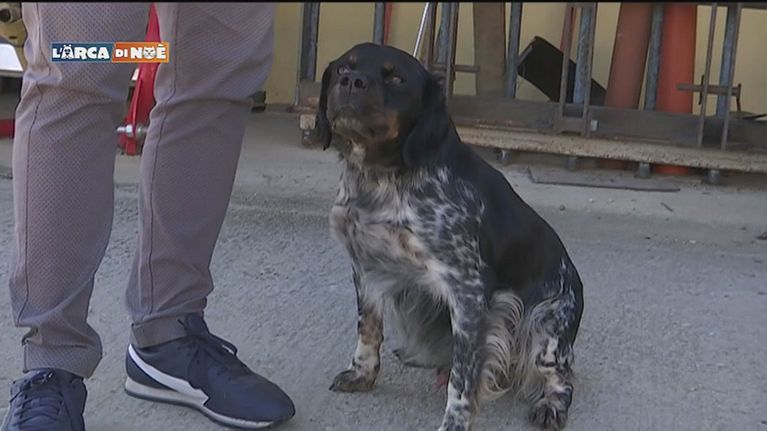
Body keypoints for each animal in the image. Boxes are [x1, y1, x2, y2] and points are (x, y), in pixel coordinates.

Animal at [315, 43, 584, 431]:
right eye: (342, 69)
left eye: (396, 78)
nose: (352, 80)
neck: (381, 178)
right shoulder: (365, 267)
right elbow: (368, 328)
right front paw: (362, 373)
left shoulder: (468, 291)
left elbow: (464, 379)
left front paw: (455, 422)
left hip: (545, 330)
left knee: (561, 377)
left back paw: (552, 404)